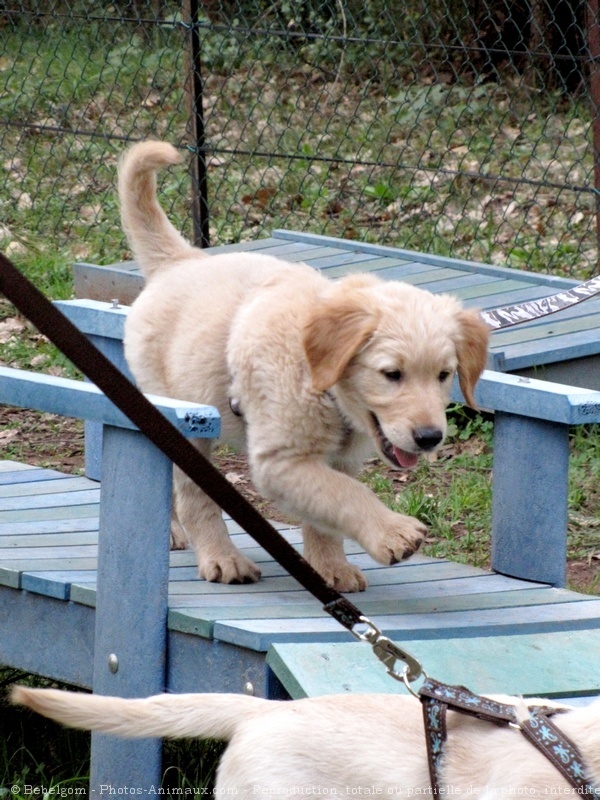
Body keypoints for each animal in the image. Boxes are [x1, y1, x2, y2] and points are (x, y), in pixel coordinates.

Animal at [119, 141, 490, 592]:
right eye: (391, 374)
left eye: (444, 375)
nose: (430, 438)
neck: (322, 383)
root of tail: (179, 260)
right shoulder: (281, 461)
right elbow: (346, 494)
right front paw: (392, 533)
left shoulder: (338, 461)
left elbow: (329, 506)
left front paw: (330, 566)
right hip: (182, 418)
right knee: (194, 493)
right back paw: (221, 558)